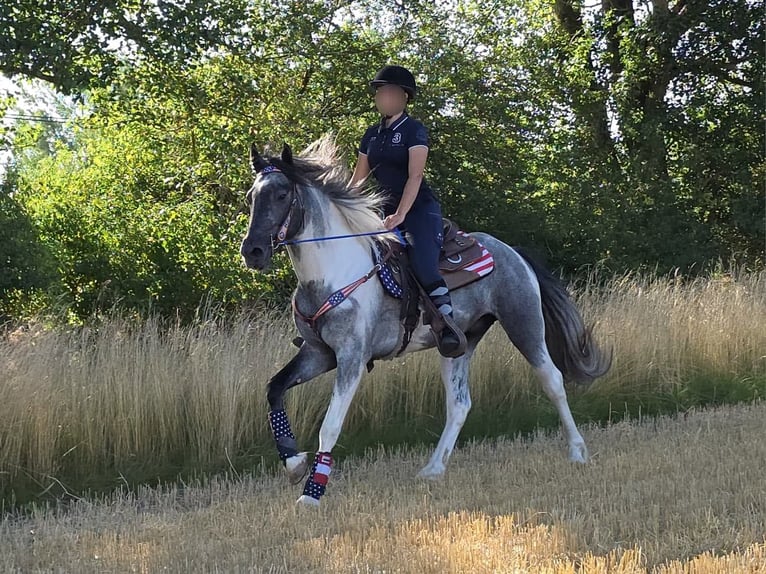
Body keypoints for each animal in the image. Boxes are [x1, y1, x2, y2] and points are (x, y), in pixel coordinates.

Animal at [240, 136, 611, 507]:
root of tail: (511, 251)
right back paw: (433, 469)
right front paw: (294, 464)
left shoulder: (351, 358)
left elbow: (330, 425)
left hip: (524, 325)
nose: (252, 251)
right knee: (459, 404)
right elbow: (274, 389)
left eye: (282, 194)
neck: (332, 274)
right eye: (251, 196)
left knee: (553, 380)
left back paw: (577, 451)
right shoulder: (318, 354)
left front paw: (312, 494)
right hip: (460, 344)